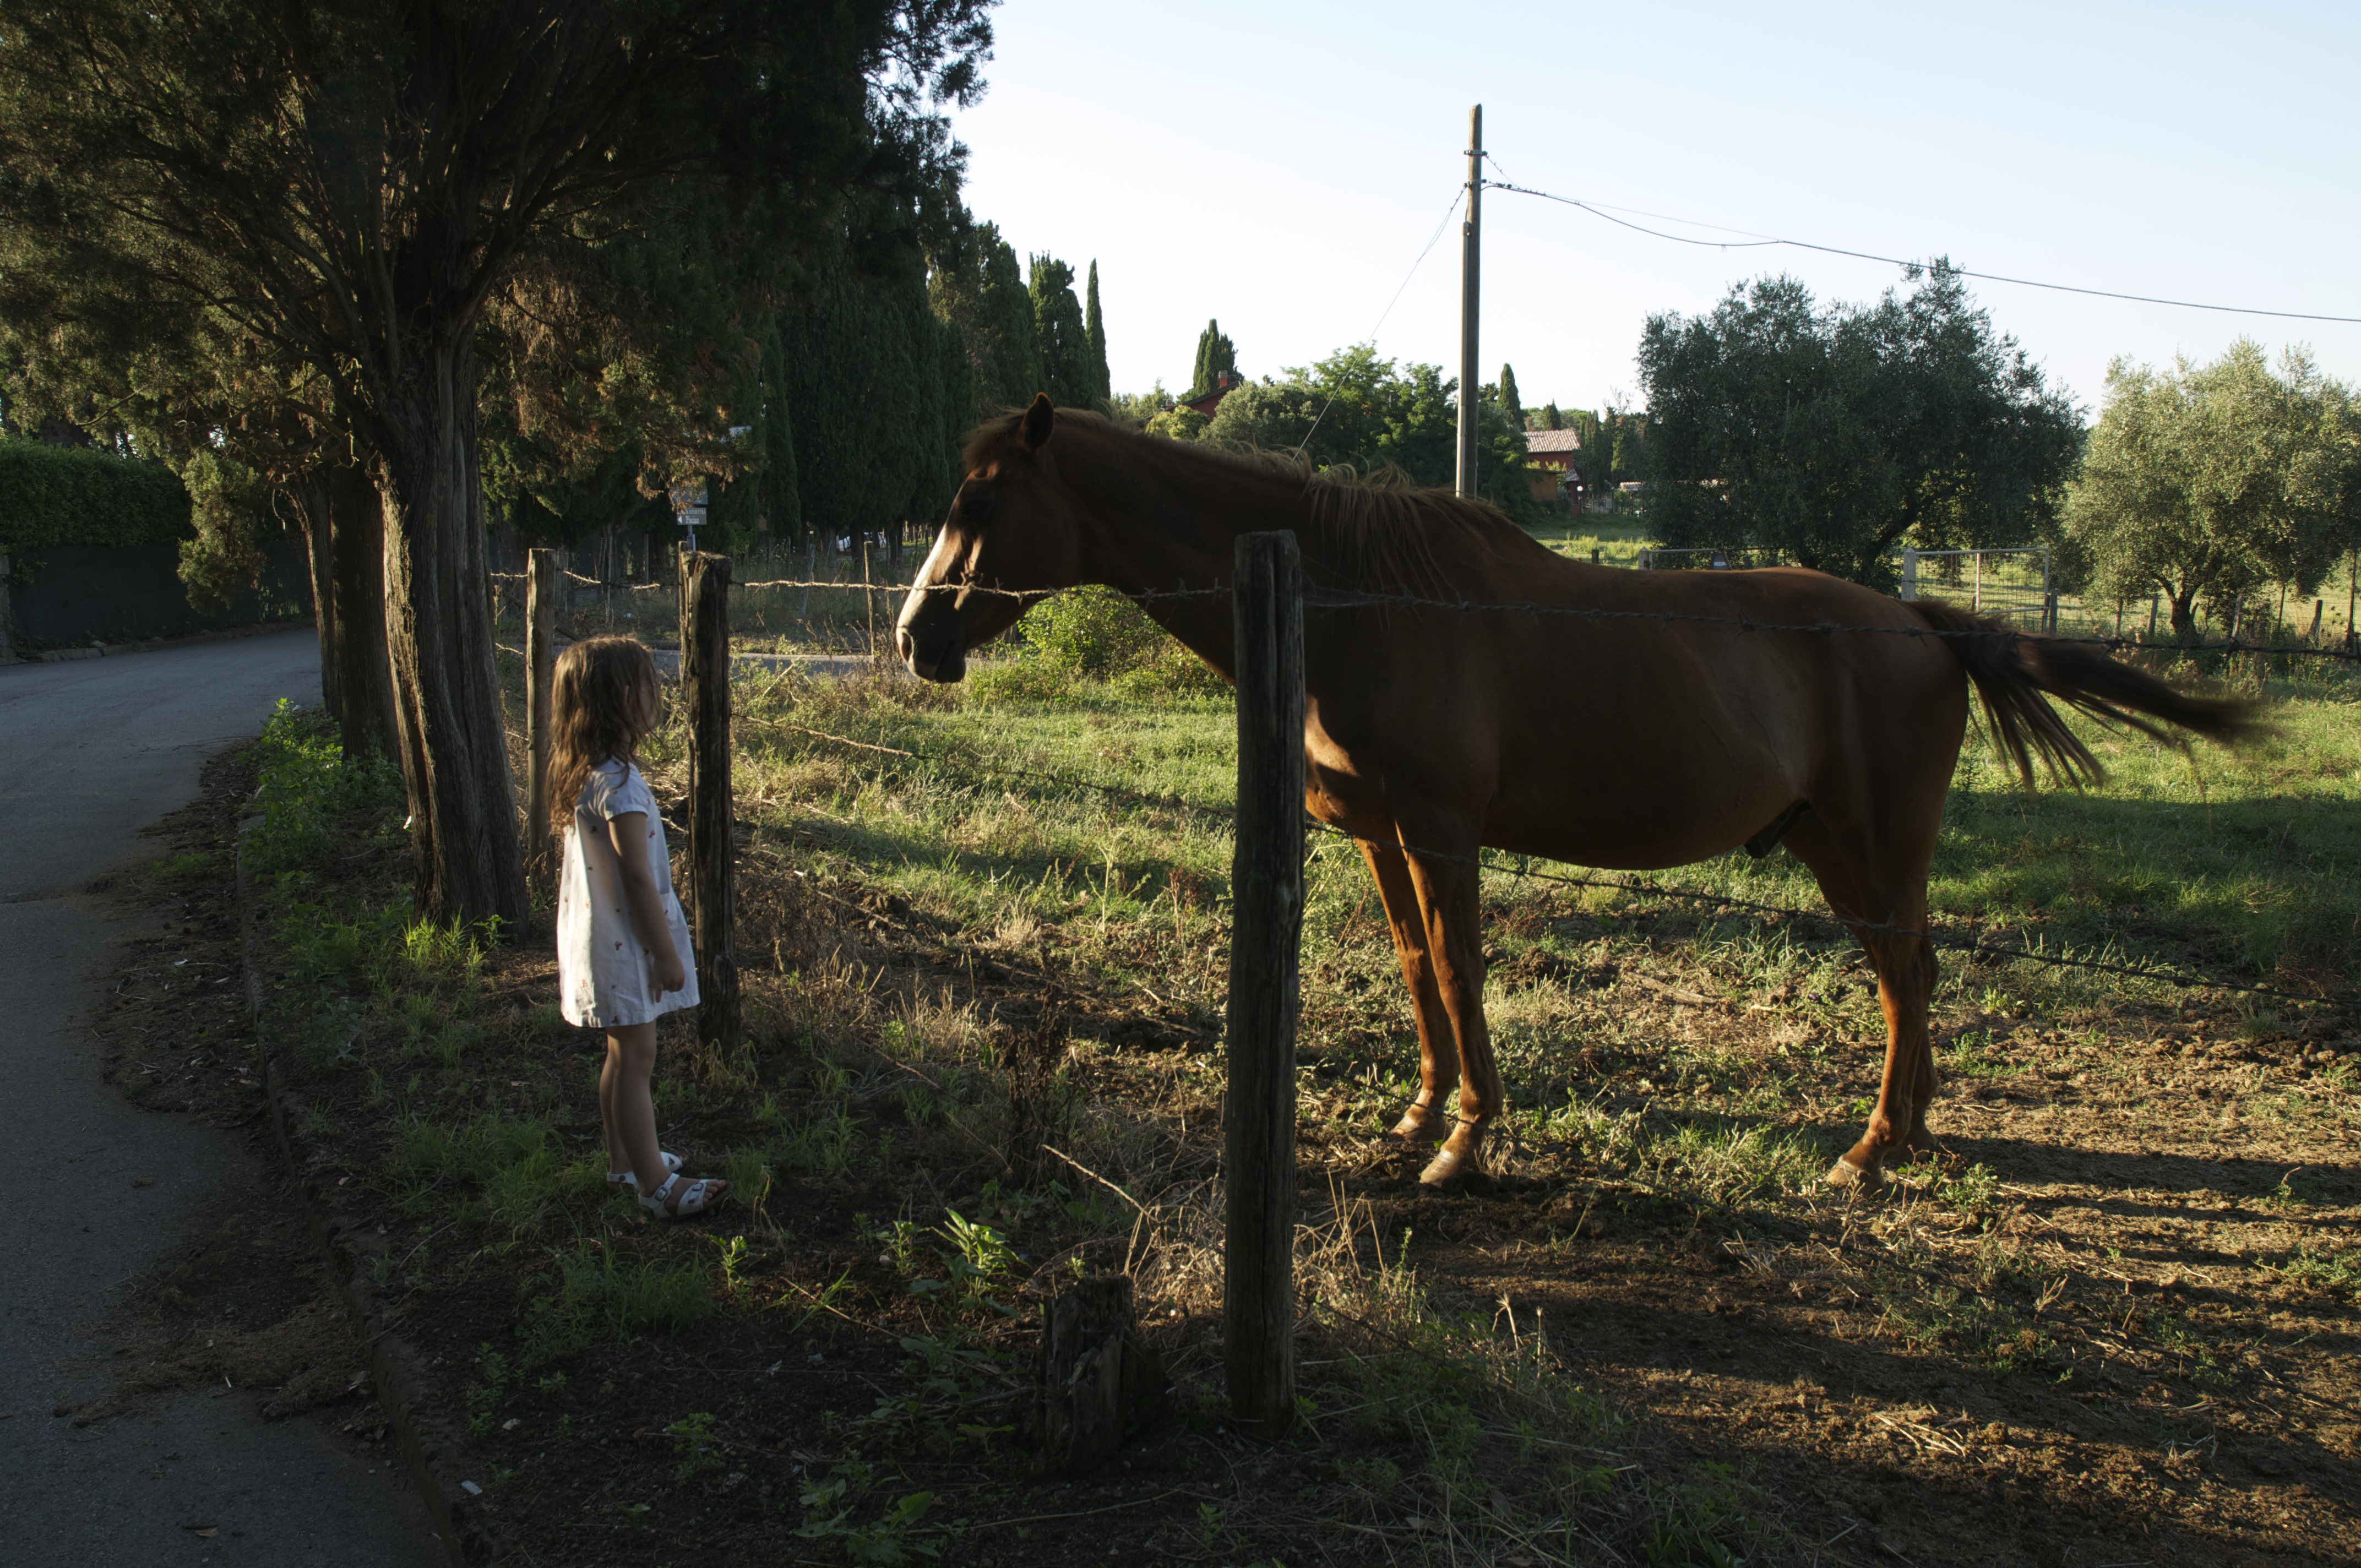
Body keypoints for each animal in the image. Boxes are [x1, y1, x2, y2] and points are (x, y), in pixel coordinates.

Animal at [895, 394, 2250, 1189]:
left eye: (982, 502)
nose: (917, 637)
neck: (1355, 599)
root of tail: (1920, 622)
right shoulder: (1382, 836)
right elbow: (1411, 965)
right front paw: (1416, 1113)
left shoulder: (1443, 830)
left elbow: (1457, 966)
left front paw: (1464, 1140)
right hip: (1830, 846)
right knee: (1903, 974)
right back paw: (1906, 1132)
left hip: (1875, 846)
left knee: (1906, 975)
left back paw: (1871, 1149)